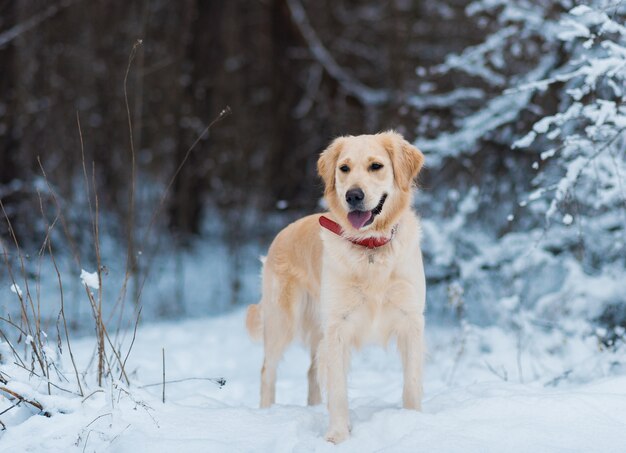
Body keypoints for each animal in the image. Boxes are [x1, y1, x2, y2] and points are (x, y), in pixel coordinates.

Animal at [244, 131, 424, 442]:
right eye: (344, 168)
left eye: (376, 166)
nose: (353, 195)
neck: (370, 248)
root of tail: (282, 232)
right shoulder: (337, 327)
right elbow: (338, 390)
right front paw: (338, 436)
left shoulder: (411, 319)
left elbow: (411, 383)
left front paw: (414, 423)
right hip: (283, 321)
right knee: (268, 370)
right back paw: (266, 413)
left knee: (311, 371)